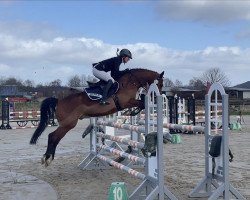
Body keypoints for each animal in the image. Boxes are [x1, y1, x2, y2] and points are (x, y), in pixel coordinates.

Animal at [29, 68, 164, 166]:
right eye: (160, 84)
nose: (157, 96)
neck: (129, 82)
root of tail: (59, 101)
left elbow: (141, 103)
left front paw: (133, 111)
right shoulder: (126, 102)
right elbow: (141, 103)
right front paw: (133, 112)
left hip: (67, 124)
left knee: (54, 137)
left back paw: (48, 157)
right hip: (68, 124)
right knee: (53, 137)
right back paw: (47, 158)